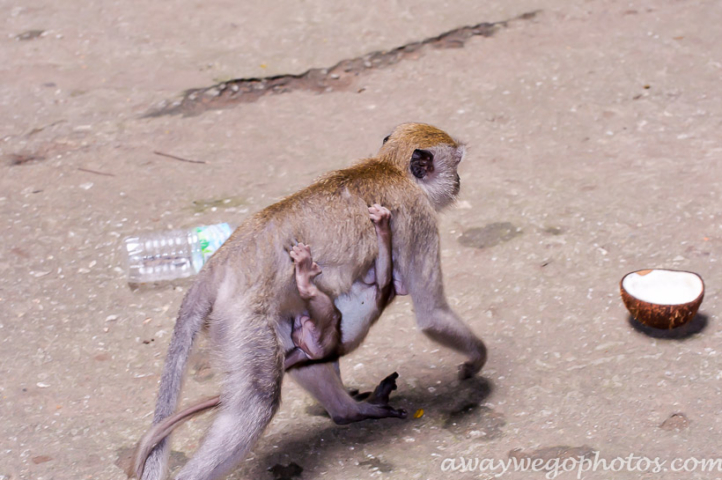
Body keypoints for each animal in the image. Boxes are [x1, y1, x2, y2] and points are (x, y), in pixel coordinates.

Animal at [282, 204, 394, 370]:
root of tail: (308, 352)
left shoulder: (380, 288)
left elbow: (384, 277)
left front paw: (382, 225)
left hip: (324, 340)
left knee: (329, 312)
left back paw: (304, 270)